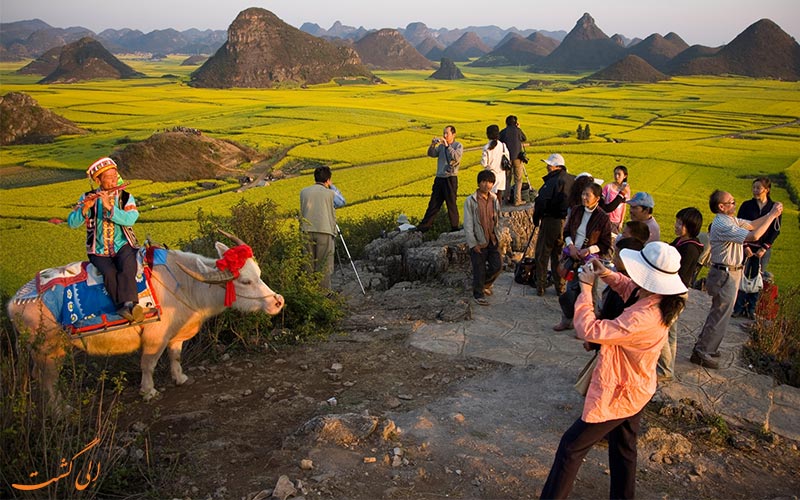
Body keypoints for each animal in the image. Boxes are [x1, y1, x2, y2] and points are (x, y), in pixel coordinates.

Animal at [7, 239, 284, 406]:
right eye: (245, 281)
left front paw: (180, 378)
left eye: (258, 274)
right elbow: (148, 364)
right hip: (49, 351)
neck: (185, 283)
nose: (278, 302)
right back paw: (61, 410)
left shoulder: (175, 335)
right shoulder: (154, 338)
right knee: (48, 381)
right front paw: (148, 391)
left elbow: (175, 356)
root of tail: (14, 302)